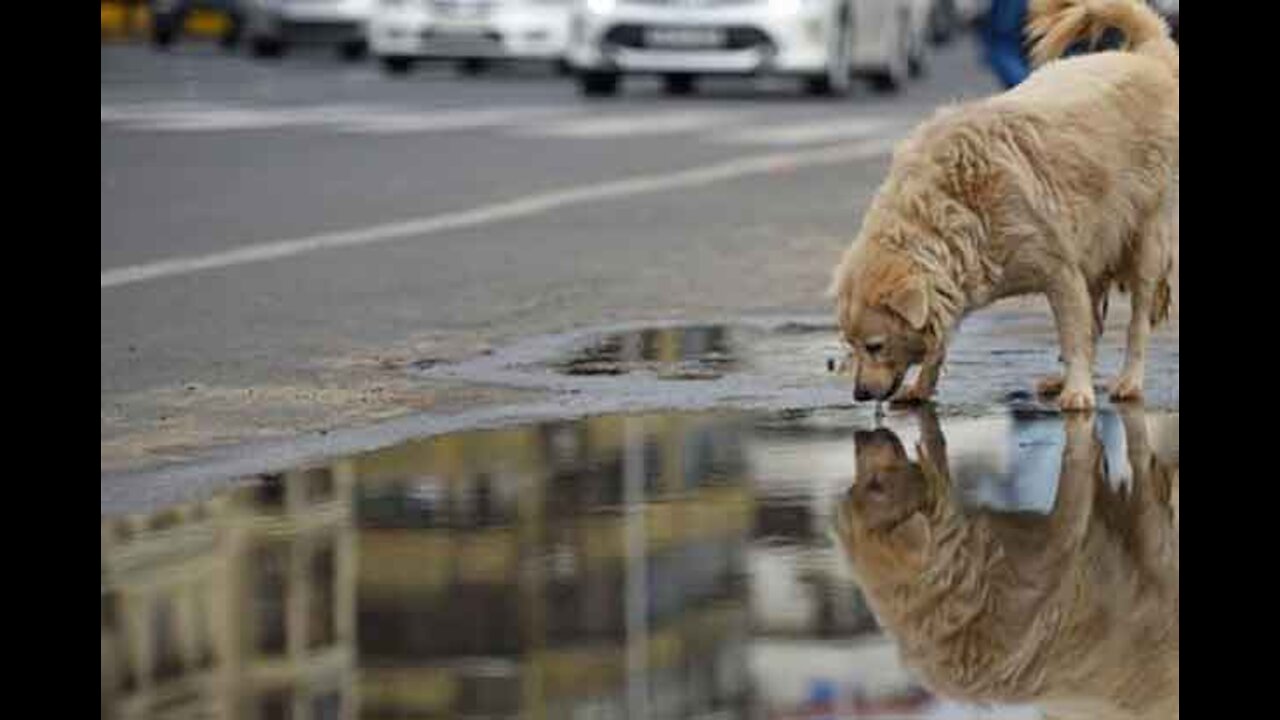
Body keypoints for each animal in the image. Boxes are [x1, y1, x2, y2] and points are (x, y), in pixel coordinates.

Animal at [829, 0, 1177, 412]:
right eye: (850, 345)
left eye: (875, 346)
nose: (860, 395)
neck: (948, 209)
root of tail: (1146, 55)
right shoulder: (958, 281)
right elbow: (941, 343)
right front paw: (923, 385)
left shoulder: (1061, 271)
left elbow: (1073, 336)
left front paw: (1078, 391)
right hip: (1096, 244)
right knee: (1096, 320)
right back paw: (1062, 380)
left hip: (1146, 240)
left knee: (1137, 321)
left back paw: (1128, 381)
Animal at [829, 404, 1177, 717]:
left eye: (871, 486)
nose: (862, 435)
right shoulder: (1061, 542)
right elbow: (1077, 471)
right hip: (1151, 544)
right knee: (1141, 468)